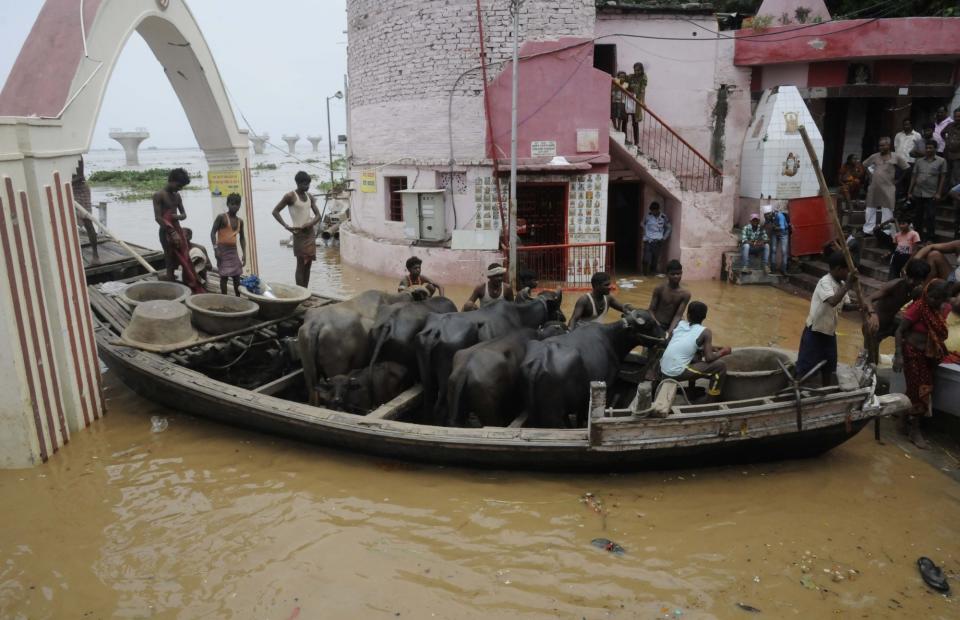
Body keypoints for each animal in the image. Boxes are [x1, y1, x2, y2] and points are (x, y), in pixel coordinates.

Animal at [516, 308, 668, 428]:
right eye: (650, 324)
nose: (664, 337)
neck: (612, 339)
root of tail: (539, 361)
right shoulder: (608, 386)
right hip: (553, 415)